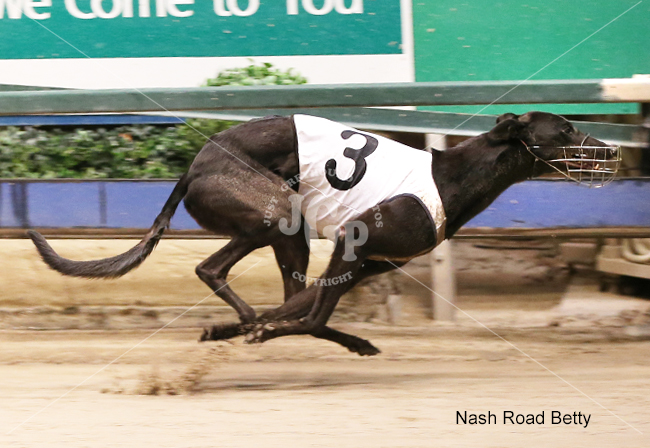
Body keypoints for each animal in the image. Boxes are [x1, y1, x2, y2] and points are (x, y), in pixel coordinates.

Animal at [28, 111, 618, 355]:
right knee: (224, 271)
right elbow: (307, 315)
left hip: (279, 230)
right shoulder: (354, 243)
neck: (451, 177)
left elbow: (304, 310)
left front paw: (234, 331)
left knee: (236, 276)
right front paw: (247, 331)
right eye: (565, 129)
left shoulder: (366, 263)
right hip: (278, 212)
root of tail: (195, 164)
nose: (611, 150)